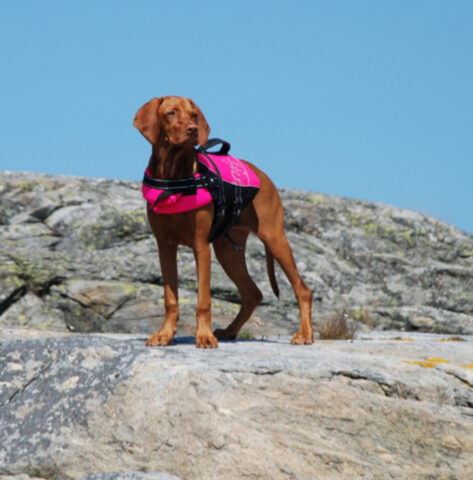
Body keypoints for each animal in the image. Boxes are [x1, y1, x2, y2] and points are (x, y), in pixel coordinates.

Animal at [133, 94, 312, 348]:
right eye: (171, 113)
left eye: (194, 115)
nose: (193, 129)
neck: (174, 178)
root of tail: (262, 174)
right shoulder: (165, 246)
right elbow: (170, 299)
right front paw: (164, 334)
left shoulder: (201, 247)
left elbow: (203, 300)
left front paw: (204, 336)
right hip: (227, 251)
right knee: (253, 294)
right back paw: (230, 330)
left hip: (274, 238)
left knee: (302, 290)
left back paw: (305, 334)